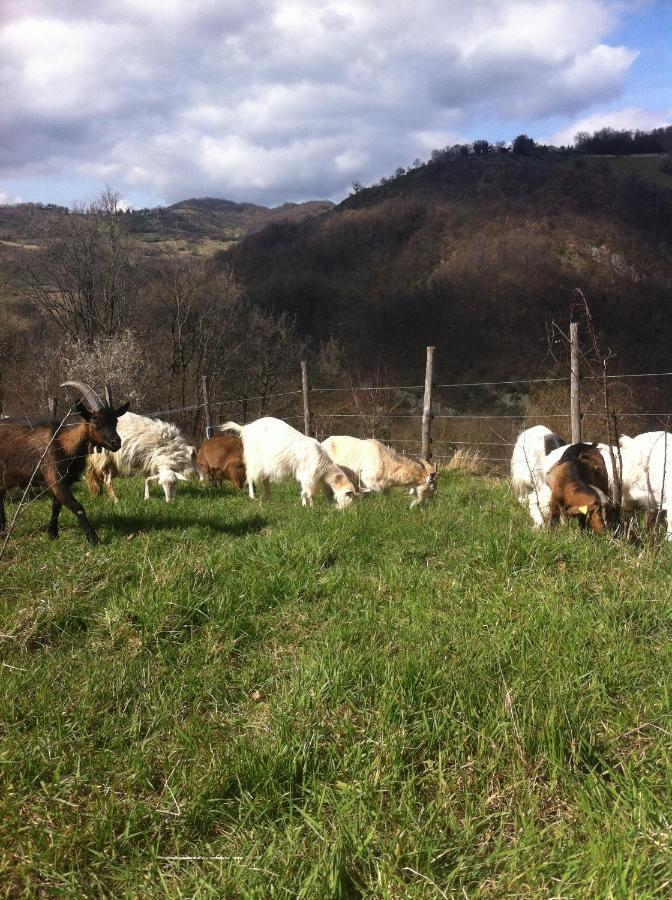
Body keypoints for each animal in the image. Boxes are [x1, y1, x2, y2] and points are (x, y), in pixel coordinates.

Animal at [0, 382, 130, 544]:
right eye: (95, 421)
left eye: (115, 421)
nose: (116, 442)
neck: (63, 444)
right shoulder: (55, 479)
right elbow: (77, 507)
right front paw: (94, 540)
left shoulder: (63, 482)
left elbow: (56, 506)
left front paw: (52, 533)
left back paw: (2, 532)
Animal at [220, 418, 356, 510]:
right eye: (348, 495)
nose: (343, 509)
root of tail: (246, 428)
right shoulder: (308, 476)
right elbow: (309, 493)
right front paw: (311, 507)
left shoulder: (305, 476)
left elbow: (304, 491)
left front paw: (304, 504)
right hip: (254, 459)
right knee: (249, 476)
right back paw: (253, 496)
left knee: (264, 479)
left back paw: (268, 497)